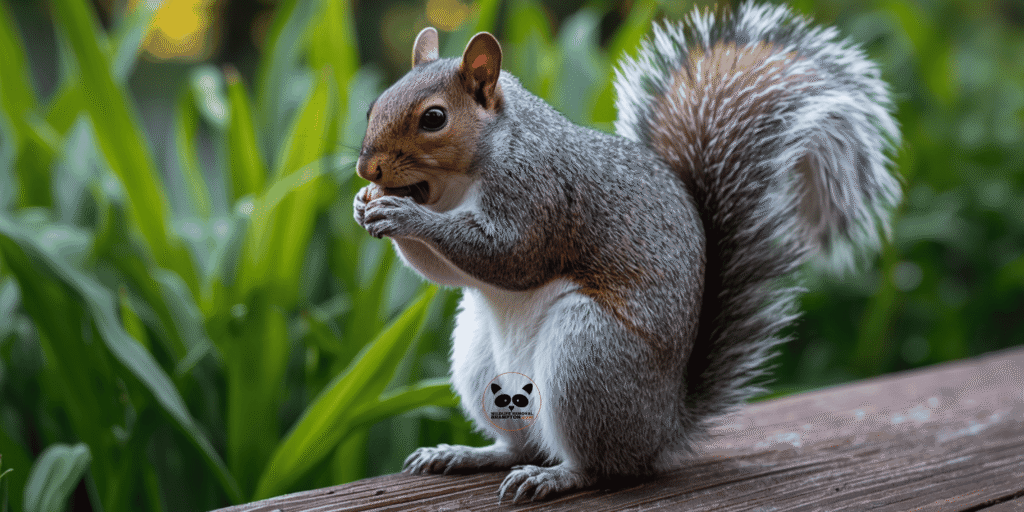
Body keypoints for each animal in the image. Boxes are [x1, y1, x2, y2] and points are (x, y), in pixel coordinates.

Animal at [353, 1, 900, 503]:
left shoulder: (538, 194)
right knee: (520, 444)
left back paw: (556, 476)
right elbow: (442, 271)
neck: (462, 180)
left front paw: (405, 216)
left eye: (434, 118)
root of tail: (665, 427)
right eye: (372, 105)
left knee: (602, 466)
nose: (367, 169)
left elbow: (509, 256)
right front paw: (366, 206)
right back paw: (465, 454)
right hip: (481, 360)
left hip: (586, 358)